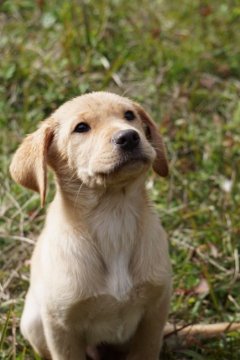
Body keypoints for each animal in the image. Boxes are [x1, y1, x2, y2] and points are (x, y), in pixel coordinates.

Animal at [9, 92, 171, 360]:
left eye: (129, 115)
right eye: (81, 128)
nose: (129, 137)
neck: (113, 216)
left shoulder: (155, 311)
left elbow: (145, 350)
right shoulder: (61, 325)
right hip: (32, 322)